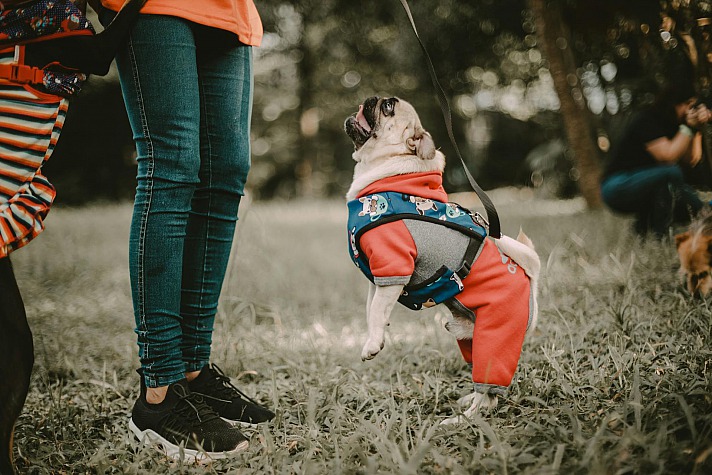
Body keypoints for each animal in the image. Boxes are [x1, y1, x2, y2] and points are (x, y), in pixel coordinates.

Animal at [342, 96, 536, 424]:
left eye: (388, 107)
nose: (371, 98)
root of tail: (532, 290)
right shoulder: (379, 276)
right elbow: (372, 309)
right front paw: (374, 337)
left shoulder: (393, 264)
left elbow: (378, 309)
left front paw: (372, 344)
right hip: (469, 339)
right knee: (486, 392)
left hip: (495, 337)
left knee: (487, 395)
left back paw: (459, 421)